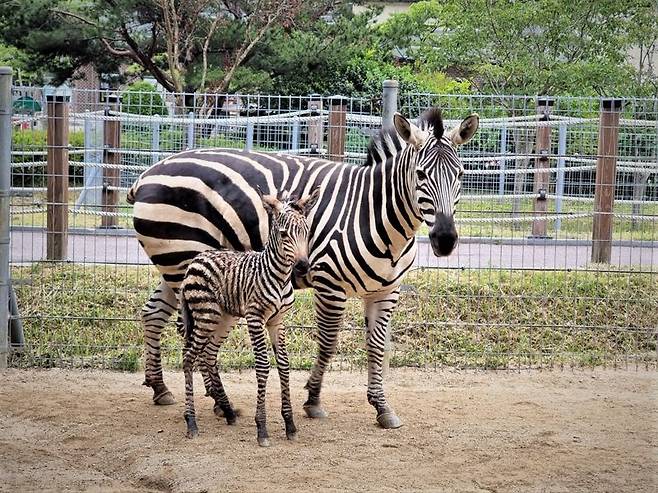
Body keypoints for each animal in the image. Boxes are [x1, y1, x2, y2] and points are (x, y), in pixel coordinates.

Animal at [179, 188, 318, 446]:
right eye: (284, 234)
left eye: (307, 232)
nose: (303, 267)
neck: (279, 277)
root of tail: (196, 259)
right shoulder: (255, 318)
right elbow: (263, 366)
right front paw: (261, 427)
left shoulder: (277, 322)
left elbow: (284, 365)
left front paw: (290, 424)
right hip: (206, 314)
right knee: (189, 356)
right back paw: (191, 422)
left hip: (224, 317)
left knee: (208, 354)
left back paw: (228, 411)